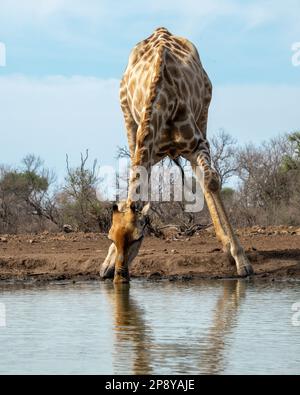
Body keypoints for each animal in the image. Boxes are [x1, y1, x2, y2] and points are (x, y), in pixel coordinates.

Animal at [101, 27, 253, 284]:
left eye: (138, 237)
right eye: (111, 237)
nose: (120, 278)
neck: (163, 103)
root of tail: (161, 30)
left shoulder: (198, 143)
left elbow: (211, 181)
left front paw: (241, 260)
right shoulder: (148, 150)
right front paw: (107, 264)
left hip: (203, 114)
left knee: (204, 177)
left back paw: (226, 246)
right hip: (128, 119)